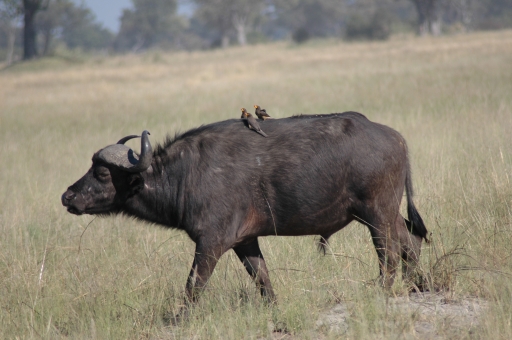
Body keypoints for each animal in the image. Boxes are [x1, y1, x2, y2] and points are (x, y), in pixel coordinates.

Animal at [61, 111, 428, 322]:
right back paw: (418, 285)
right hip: (386, 213)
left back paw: (384, 290)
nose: (68, 196)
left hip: (376, 213)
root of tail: (396, 138)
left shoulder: (210, 242)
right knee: (410, 241)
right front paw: (273, 309)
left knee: (388, 253)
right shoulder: (246, 241)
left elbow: (193, 284)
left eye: (102, 173)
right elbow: (262, 279)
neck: (185, 174)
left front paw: (180, 318)